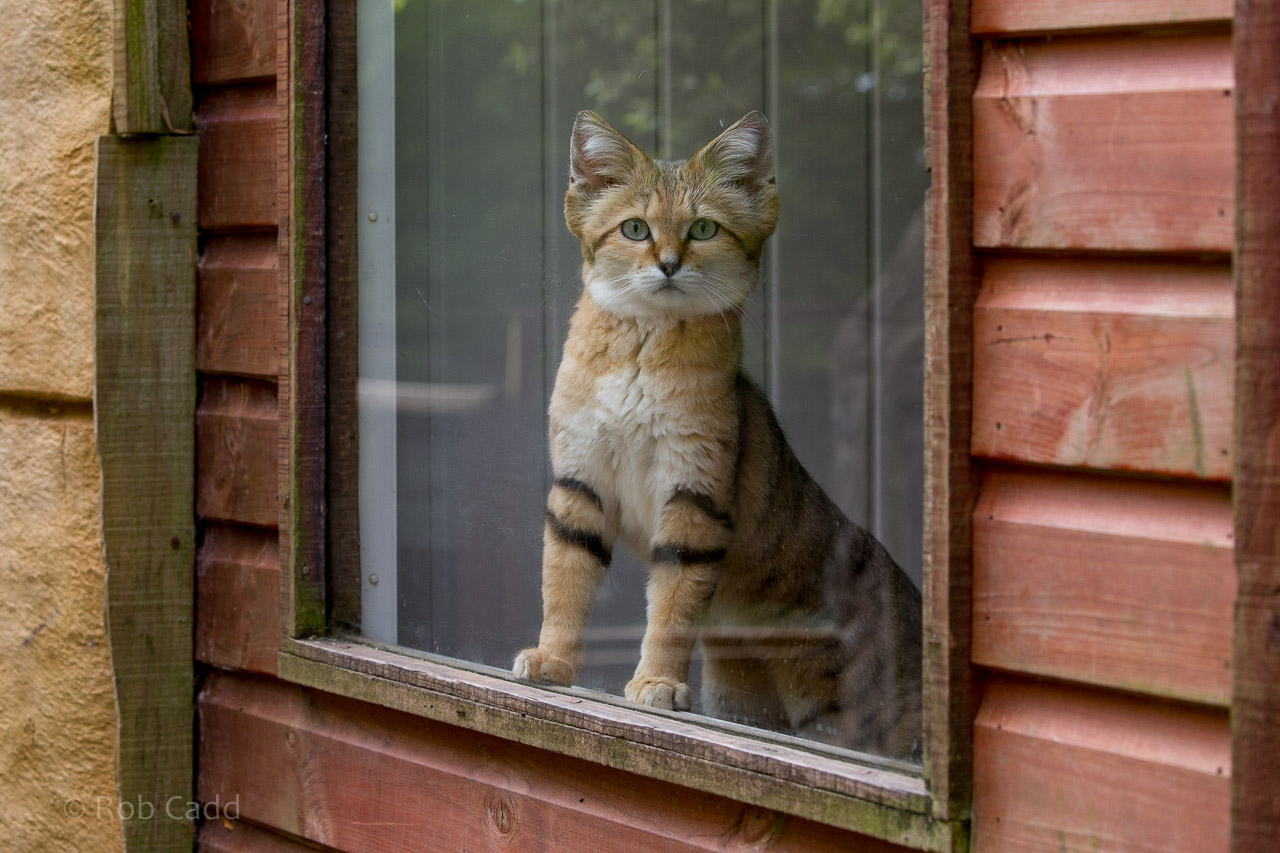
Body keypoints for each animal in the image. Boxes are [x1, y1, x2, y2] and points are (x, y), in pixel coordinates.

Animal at [509, 109, 921, 753]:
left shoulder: (693, 495)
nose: (668, 263)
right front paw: (553, 660)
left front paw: (656, 682)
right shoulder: (579, 485)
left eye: (703, 229)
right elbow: (564, 580)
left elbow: (673, 606)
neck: (642, 352)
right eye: (634, 229)